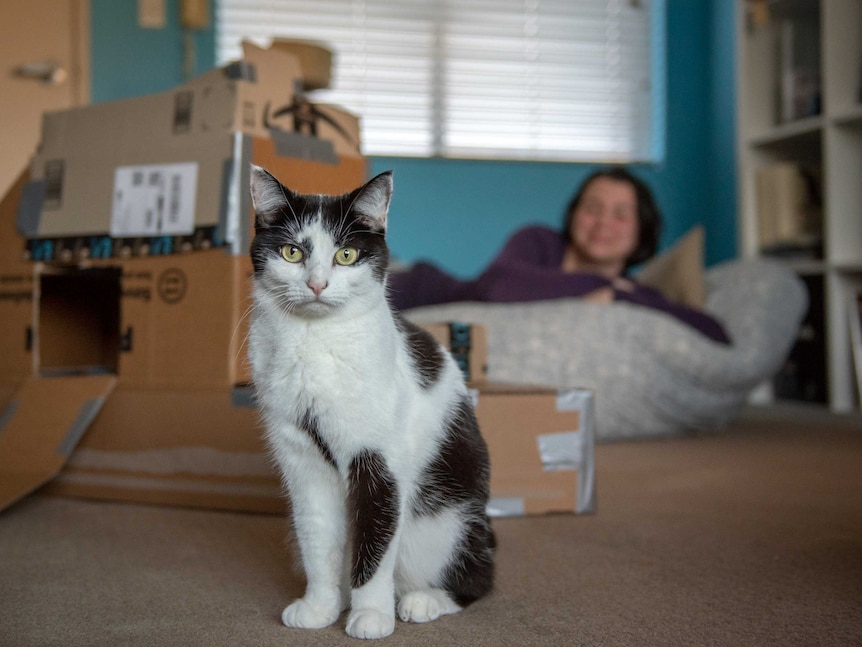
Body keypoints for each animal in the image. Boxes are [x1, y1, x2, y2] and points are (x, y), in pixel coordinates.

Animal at [246, 165, 496, 640]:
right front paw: (319, 607)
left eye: (345, 255)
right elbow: (317, 539)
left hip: (448, 524)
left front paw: (372, 616)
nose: (317, 284)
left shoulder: (380, 463)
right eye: (291, 252)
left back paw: (421, 601)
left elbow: (375, 542)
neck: (315, 340)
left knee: (478, 578)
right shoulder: (302, 463)